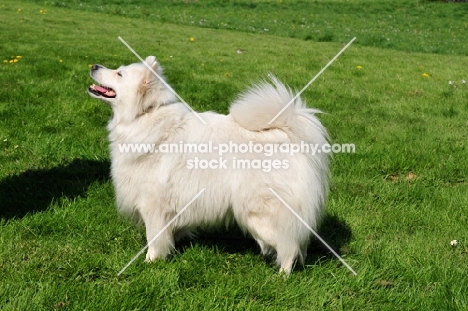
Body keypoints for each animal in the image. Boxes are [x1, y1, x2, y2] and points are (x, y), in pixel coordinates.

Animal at [88, 56, 330, 276]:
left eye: (119, 74)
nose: (94, 65)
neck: (145, 116)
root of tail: (289, 134)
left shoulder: (153, 205)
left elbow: (154, 239)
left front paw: (150, 262)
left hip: (261, 215)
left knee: (290, 245)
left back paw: (282, 276)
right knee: (299, 244)